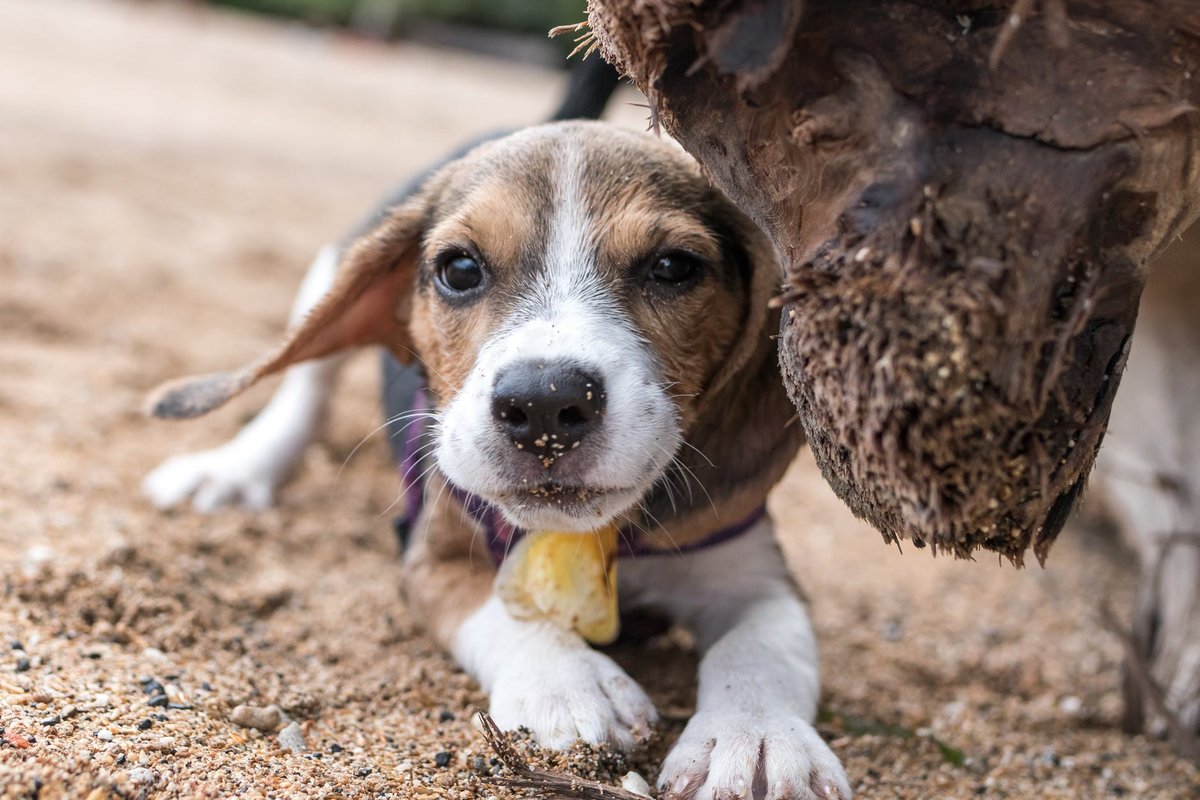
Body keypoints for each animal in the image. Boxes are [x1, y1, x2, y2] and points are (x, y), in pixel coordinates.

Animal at [142, 120, 854, 800]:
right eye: (459, 269)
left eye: (674, 267)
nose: (544, 403)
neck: (587, 536)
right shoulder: (435, 556)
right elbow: (500, 607)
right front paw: (568, 679)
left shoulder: (755, 574)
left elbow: (762, 646)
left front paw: (757, 738)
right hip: (329, 270)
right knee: (306, 383)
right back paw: (238, 467)